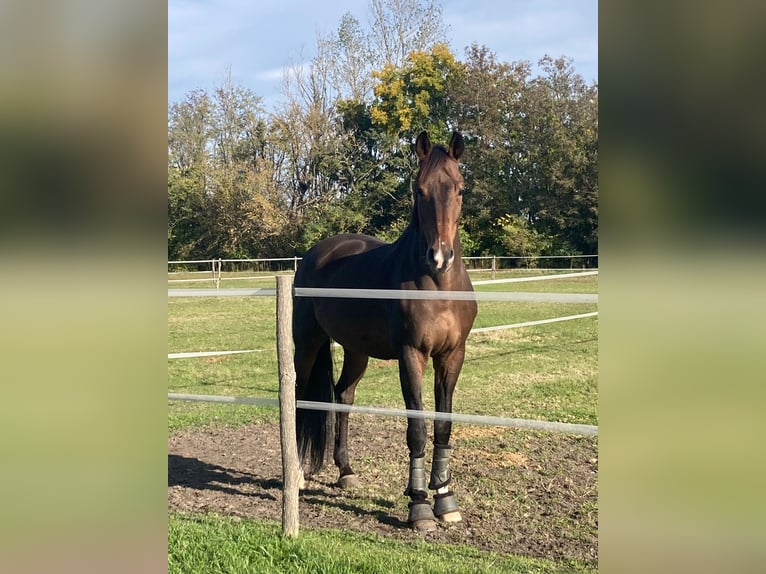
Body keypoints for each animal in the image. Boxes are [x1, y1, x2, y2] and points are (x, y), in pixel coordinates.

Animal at [292, 130, 476, 532]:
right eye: (419, 190)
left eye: (459, 189)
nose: (440, 257)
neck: (438, 287)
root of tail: (317, 252)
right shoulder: (411, 355)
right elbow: (417, 428)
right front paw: (419, 505)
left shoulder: (452, 356)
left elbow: (443, 426)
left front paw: (446, 499)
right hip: (307, 343)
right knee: (298, 397)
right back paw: (296, 474)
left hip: (356, 351)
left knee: (343, 396)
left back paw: (345, 471)